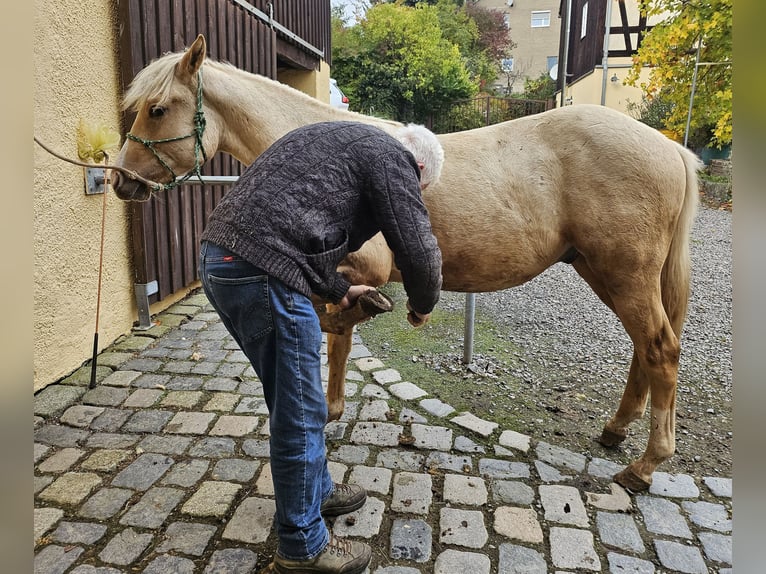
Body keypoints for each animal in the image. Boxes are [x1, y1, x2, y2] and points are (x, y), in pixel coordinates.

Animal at [111, 35, 700, 491]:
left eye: (157, 108)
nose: (121, 180)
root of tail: (671, 149)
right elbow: (338, 336)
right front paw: (333, 408)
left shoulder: (356, 269)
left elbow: (335, 324)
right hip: (606, 272)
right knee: (645, 350)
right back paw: (616, 430)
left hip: (622, 274)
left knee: (661, 350)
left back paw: (645, 466)